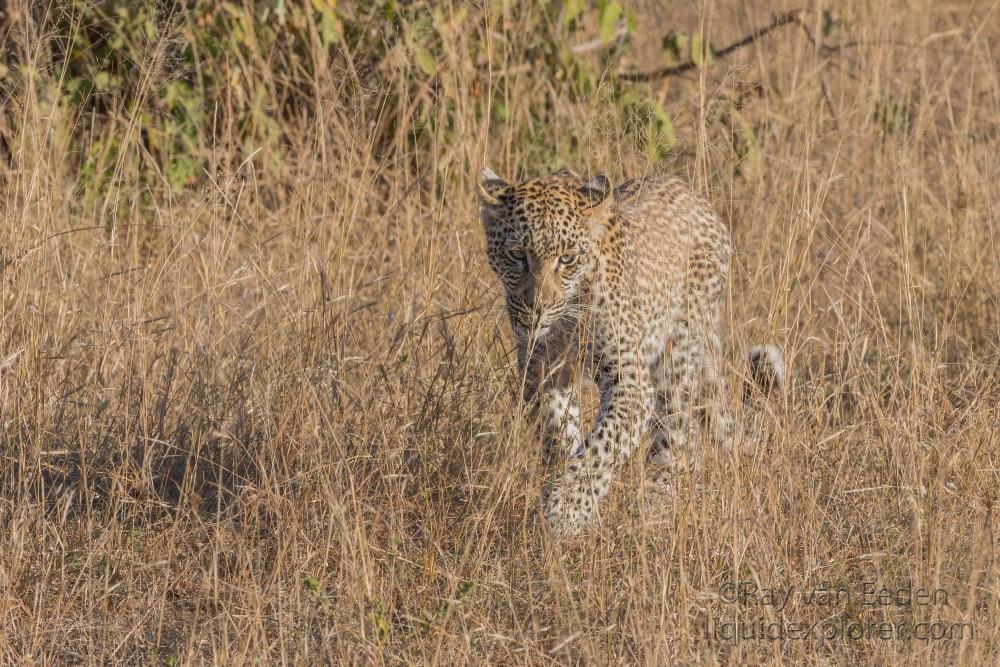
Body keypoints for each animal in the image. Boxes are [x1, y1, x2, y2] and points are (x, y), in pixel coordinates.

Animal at [480, 166, 784, 536]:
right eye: (517, 255)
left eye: (566, 259)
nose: (536, 308)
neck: (567, 318)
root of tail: (699, 201)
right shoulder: (542, 370)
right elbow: (557, 429)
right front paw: (563, 478)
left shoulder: (630, 381)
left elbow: (603, 444)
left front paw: (564, 511)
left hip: (678, 352)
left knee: (679, 437)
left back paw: (655, 508)